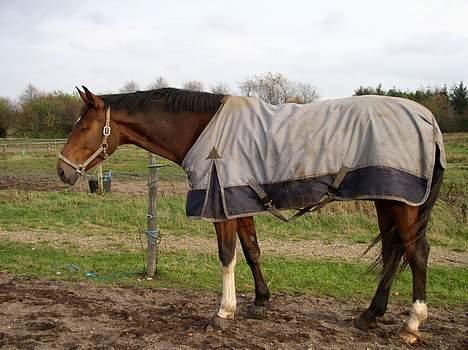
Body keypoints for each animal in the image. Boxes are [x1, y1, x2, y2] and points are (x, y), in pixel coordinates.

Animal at [56, 87, 444, 344]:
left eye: (84, 127)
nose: (62, 171)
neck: (204, 129)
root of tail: (426, 118)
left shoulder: (221, 207)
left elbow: (227, 256)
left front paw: (223, 313)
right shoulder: (238, 201)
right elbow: (252, 250)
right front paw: (260, 302)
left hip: (403, 204)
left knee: (416, 254)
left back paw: (411, 325)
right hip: (387, 200)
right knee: (393, 252)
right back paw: (370, 316)